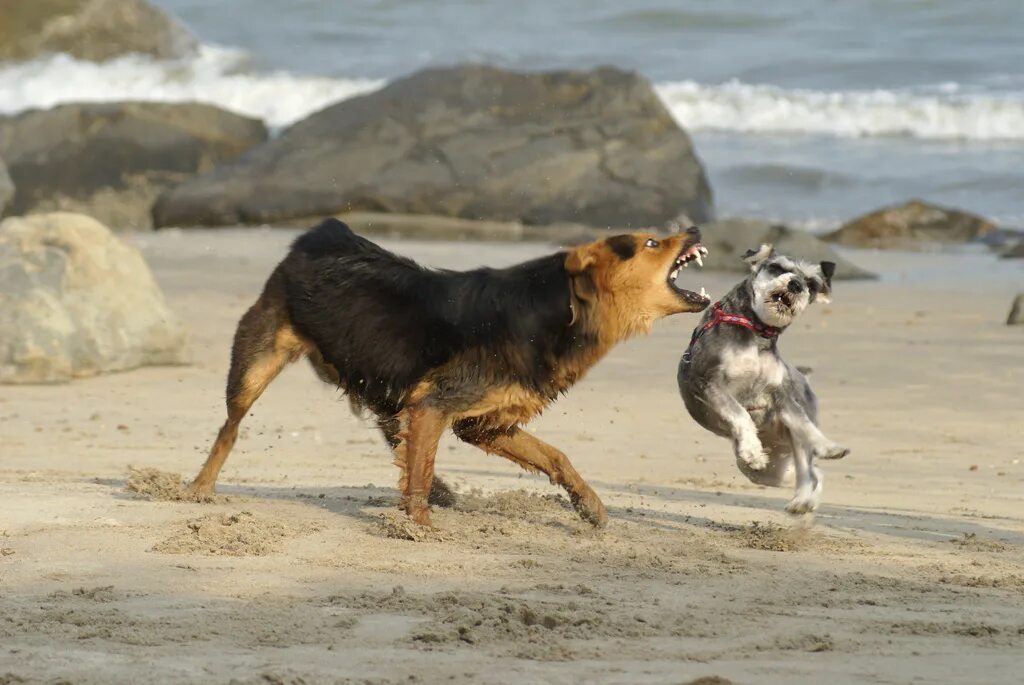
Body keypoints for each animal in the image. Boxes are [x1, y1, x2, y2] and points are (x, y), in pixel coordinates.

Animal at [188, 216, 708, 528]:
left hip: (383, 384)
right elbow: (419, 471)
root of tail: (319, 233)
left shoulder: (483, 423)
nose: (696, 227)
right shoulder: (436, 405)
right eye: (652, 242)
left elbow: (555, 456)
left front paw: (588, 505)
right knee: (228, 430)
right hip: (256, 362)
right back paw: (199, 489)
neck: (563, 311)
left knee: (393, 431)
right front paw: (417, 528)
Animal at [679, 242, 847, 509]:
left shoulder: (782, 395)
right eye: (777, 268)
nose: (795, 285)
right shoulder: (709, 382)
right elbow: (740, 413)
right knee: (807, 472)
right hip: (771, 469)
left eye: (811, 284)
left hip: (794, 443)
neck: (757, 332)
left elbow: (805, 423)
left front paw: (829, 446)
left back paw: (802, 501)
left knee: (810, 470)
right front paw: (752, 452)